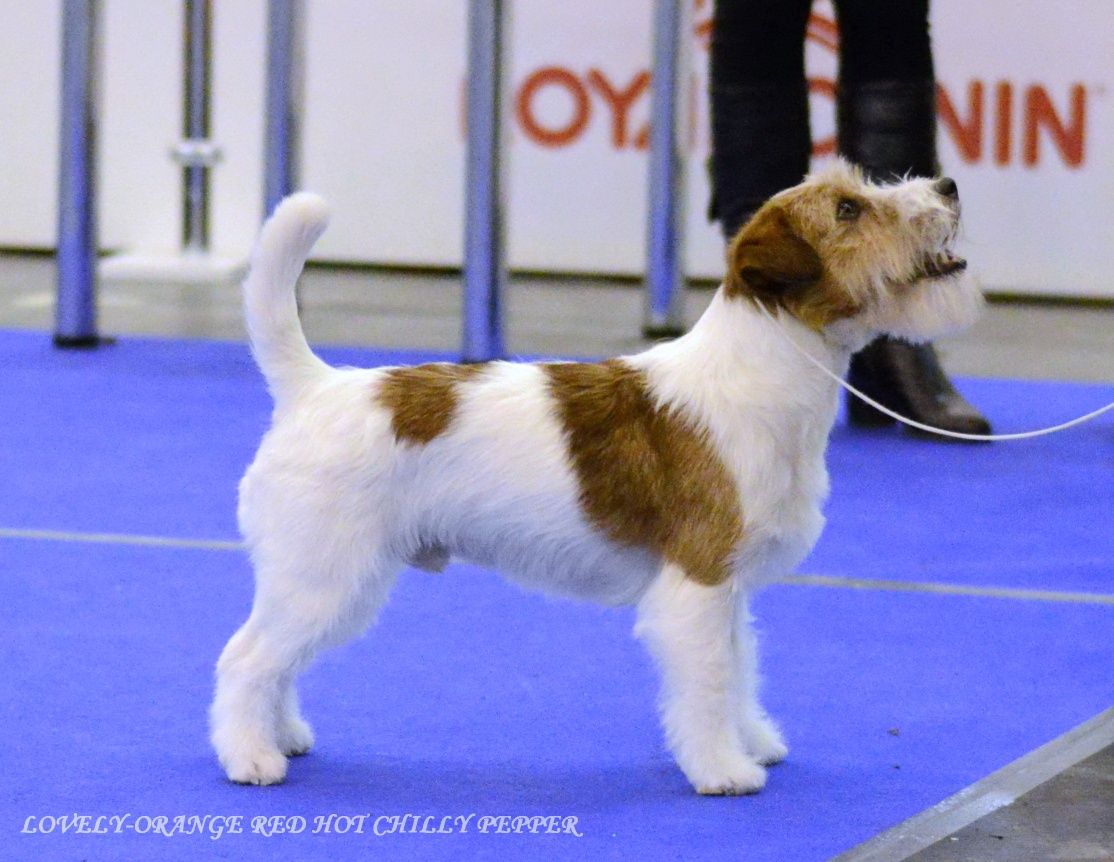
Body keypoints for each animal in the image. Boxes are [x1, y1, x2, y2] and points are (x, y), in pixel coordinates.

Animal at [210, 160, 984, 797]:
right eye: (850, 209)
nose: (948, 185)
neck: (763, 371)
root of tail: (315, 387)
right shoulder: (697, 585)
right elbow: (708, 683)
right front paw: (723, 770)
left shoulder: (728, 589)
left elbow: (739, 668)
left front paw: (753, 742)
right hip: (325, 574)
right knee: (246, 657)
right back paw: (251, 758)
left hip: (327, 580)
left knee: (277, 659)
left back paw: (285, 736)